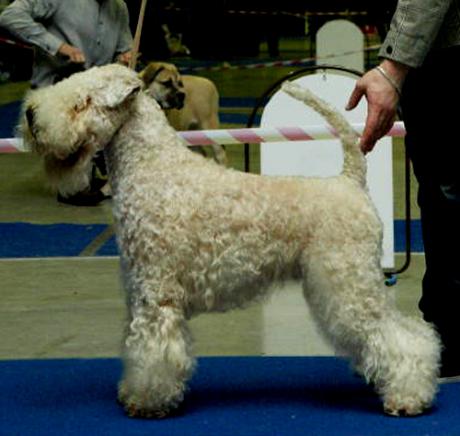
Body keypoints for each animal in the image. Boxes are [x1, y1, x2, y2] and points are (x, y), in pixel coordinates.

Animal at [19, 64, 440, 418]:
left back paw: (408, 396)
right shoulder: (139, 290)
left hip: (348, 283)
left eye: (84, 101)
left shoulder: (157, 295)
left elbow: (153, 352)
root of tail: (350, 180)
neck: (151, 167)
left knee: (403, 335)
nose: (31, 116)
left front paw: (146, 401)